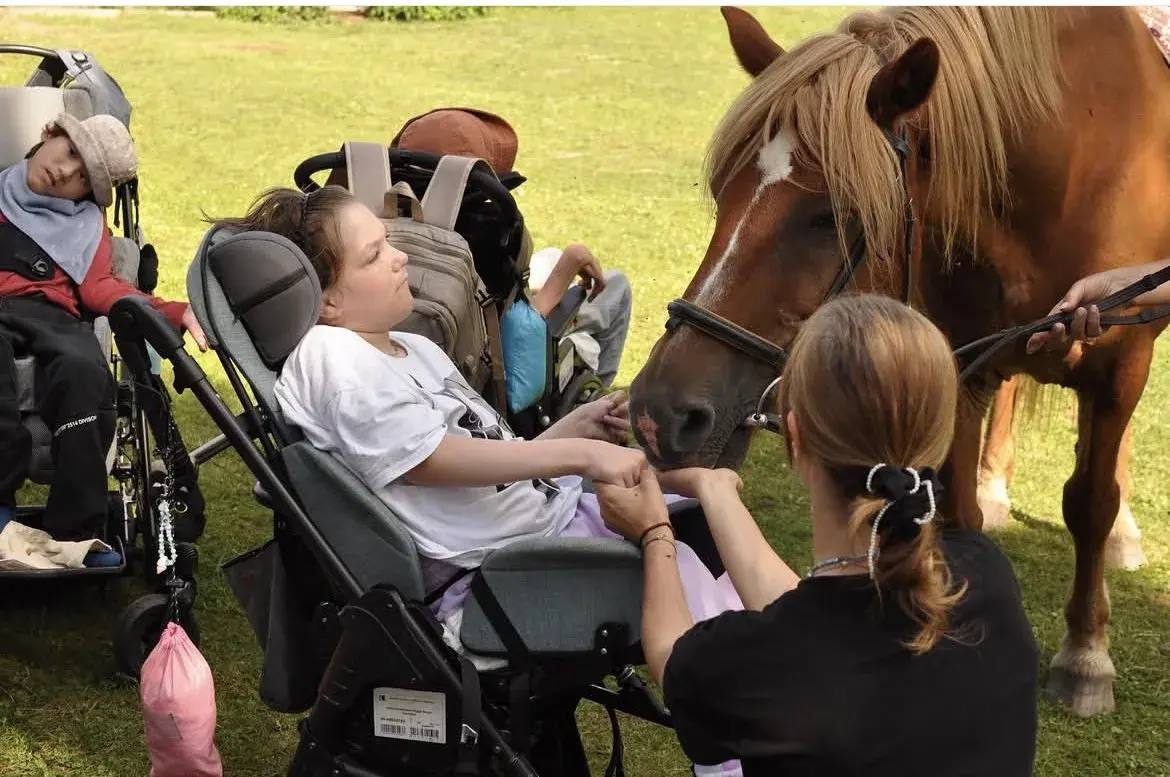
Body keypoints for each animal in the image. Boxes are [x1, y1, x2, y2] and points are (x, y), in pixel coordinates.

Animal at [629, 6, 1170, 717]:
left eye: (829, 215)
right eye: (722, 194)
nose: (658, 413)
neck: (1073, 162)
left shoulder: (1118, 364)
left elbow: (1089, 501)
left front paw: (1085, 656)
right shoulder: (965, 366)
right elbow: (959, 514)